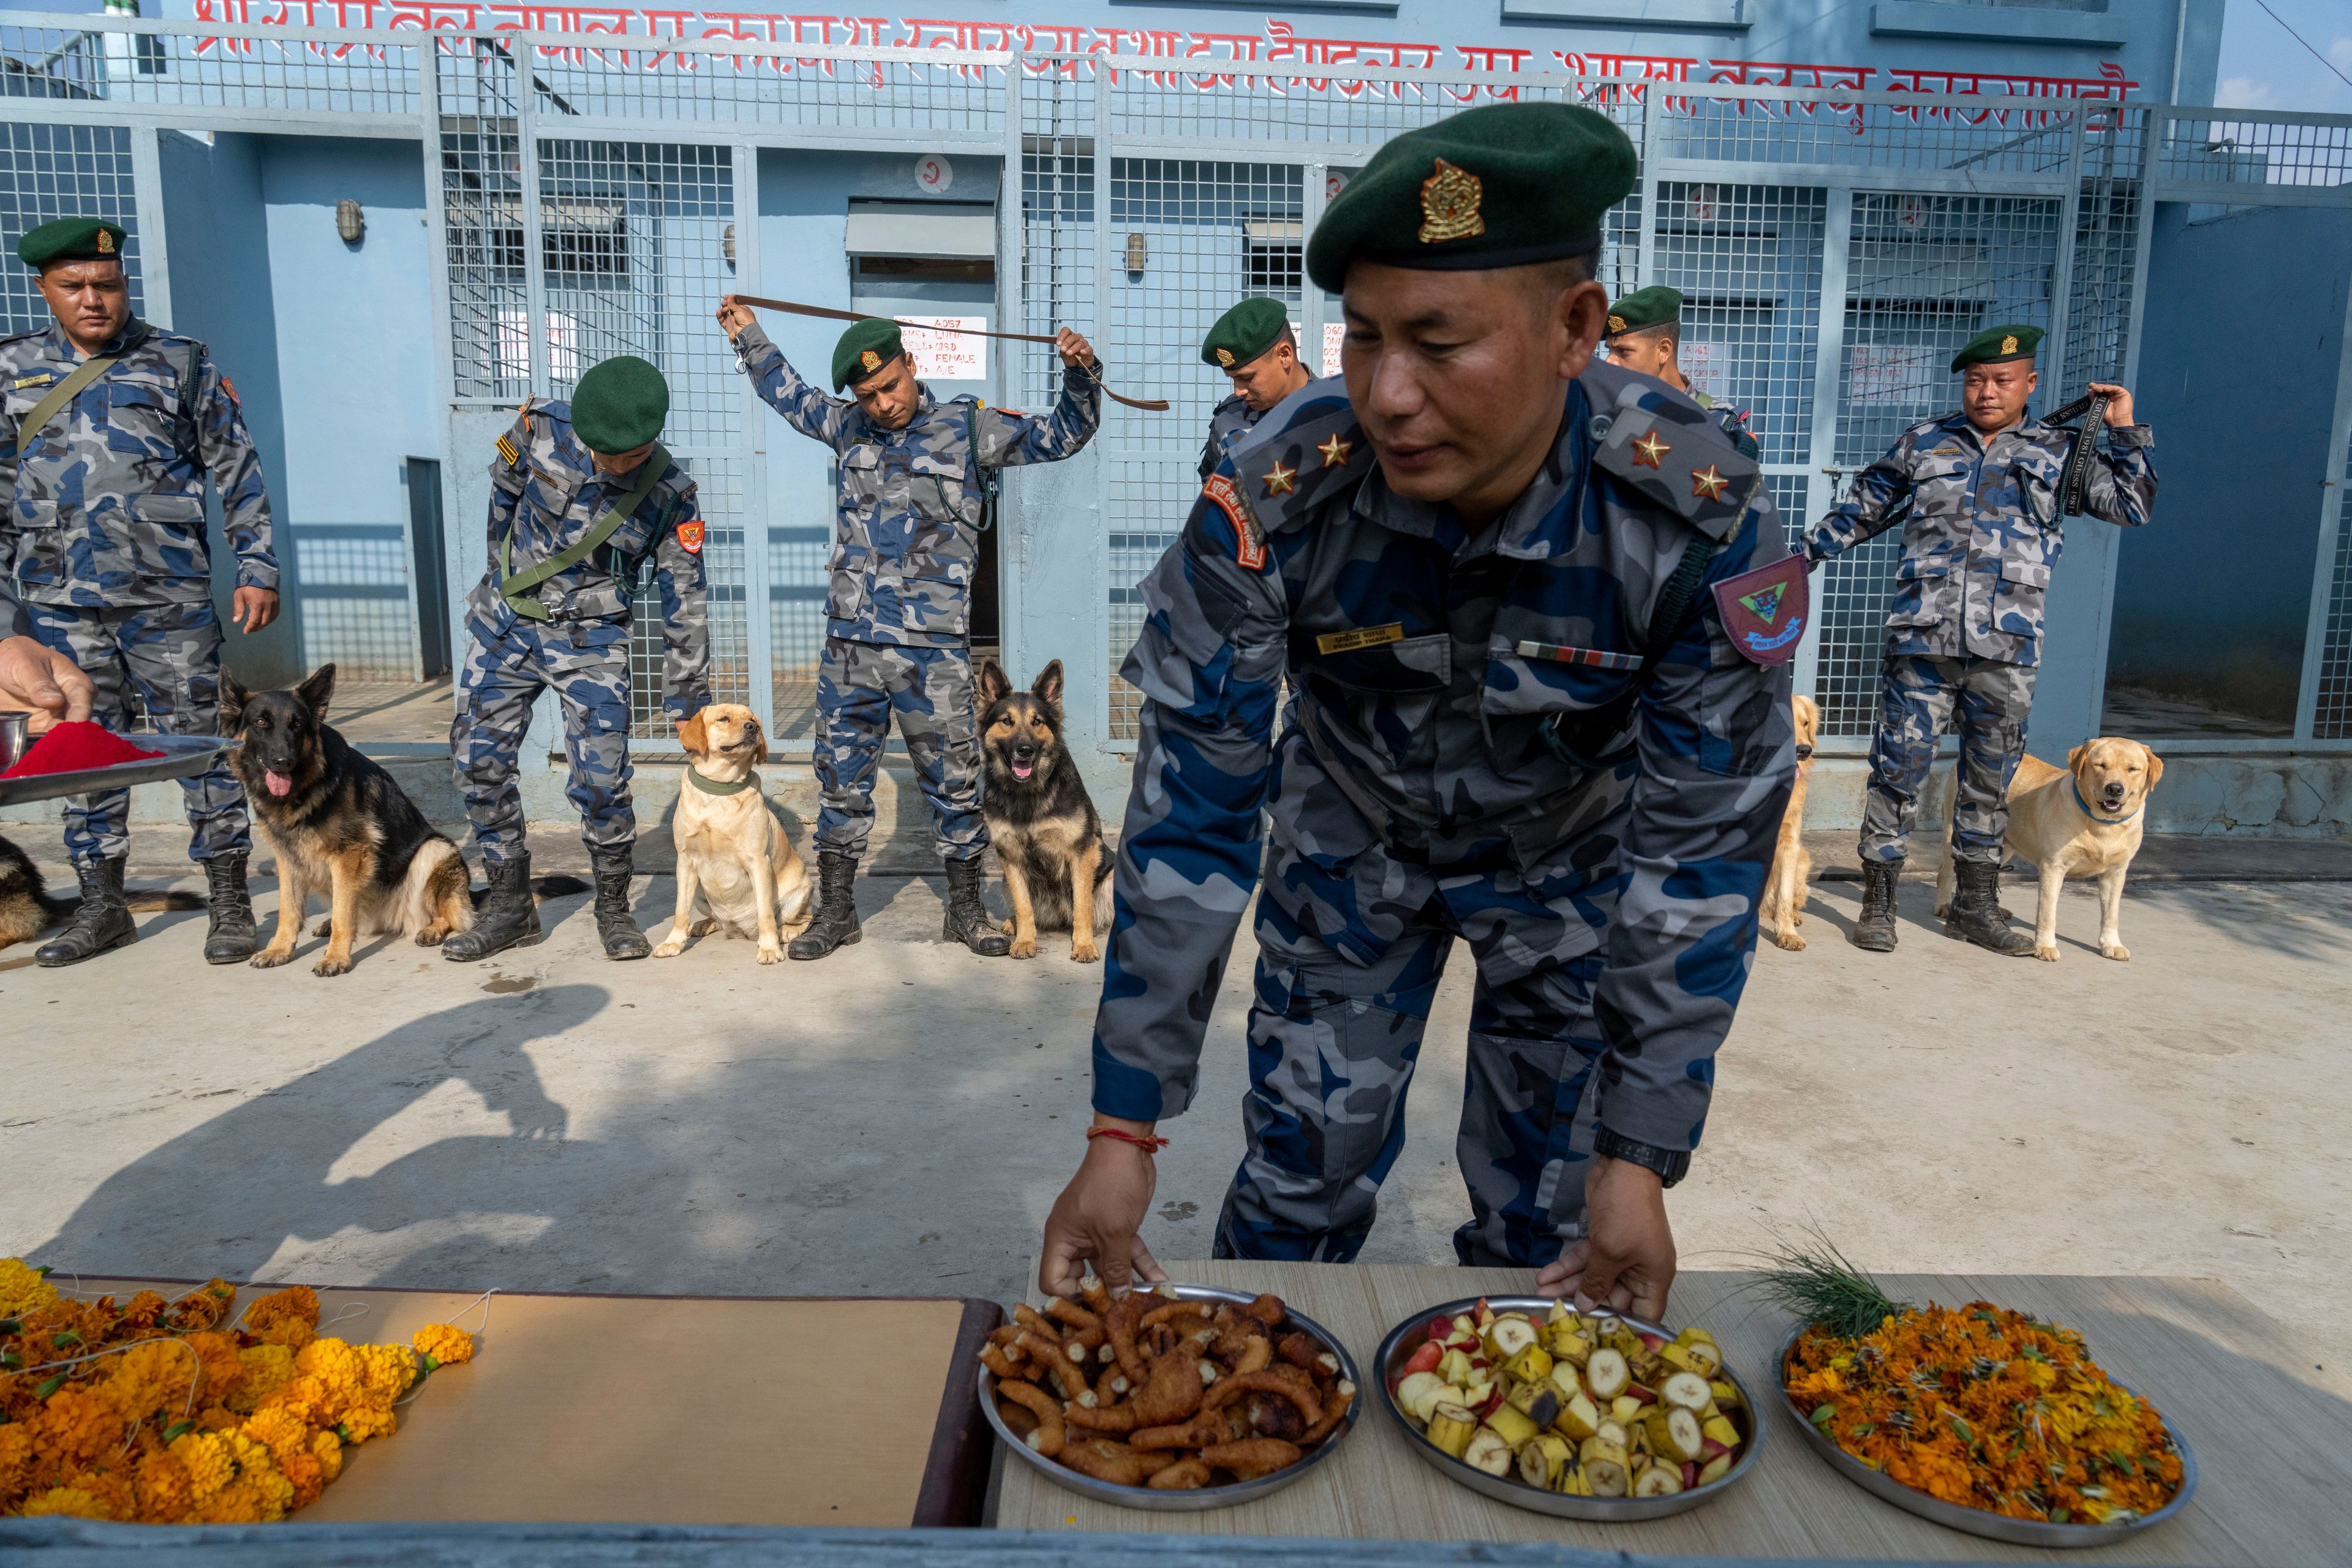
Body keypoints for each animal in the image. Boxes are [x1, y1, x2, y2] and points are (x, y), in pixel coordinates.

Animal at [219, 668, 548, 982]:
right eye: (261, 722)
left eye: (297, 724)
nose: (282, 762)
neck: (305, 786)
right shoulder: (288, 858)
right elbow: (288, 910)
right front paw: (278, 950)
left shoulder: (349, 855)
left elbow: (343, 917)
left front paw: (335, 958)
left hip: (435, 849)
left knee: (454, 916)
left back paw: (432, 929)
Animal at [654, 705, 818, 963]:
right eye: (724, 719)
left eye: (752, 720)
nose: (754, 728)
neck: (720, 790)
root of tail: (740, 929)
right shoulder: (686, 861)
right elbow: (680, 911)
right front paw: (673, 943)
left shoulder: (758, 862)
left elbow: (766, 914)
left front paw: (769, 948)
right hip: (700, 893)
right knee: (715, 920)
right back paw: (703, 924)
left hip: (800, 892)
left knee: (805, 919)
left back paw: (786, 932)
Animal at [978, 658, 1115, 963]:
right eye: (1007, 721)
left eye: (1037, 722)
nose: (1025, 750)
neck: (1028, 793)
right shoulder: (1010, 857)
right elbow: (1024, 906)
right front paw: (1025, 941)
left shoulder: (1082, 852)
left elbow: (1082, 906)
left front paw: (1084, 945)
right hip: (1004, 879)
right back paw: (1012, 924)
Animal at [1938, 742, 2154, 963]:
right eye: (2100, 765)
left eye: (2133, 769)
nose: (2114, 788)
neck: (2103, 825)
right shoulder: (2053, 867)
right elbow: (2047, 912)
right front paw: (2045, 947)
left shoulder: (2116, 873)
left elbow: (2111, 914)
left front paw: (2112, 944)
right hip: (1955, 831)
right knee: (1944, 870)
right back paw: (1945, 905)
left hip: (2003, 846)